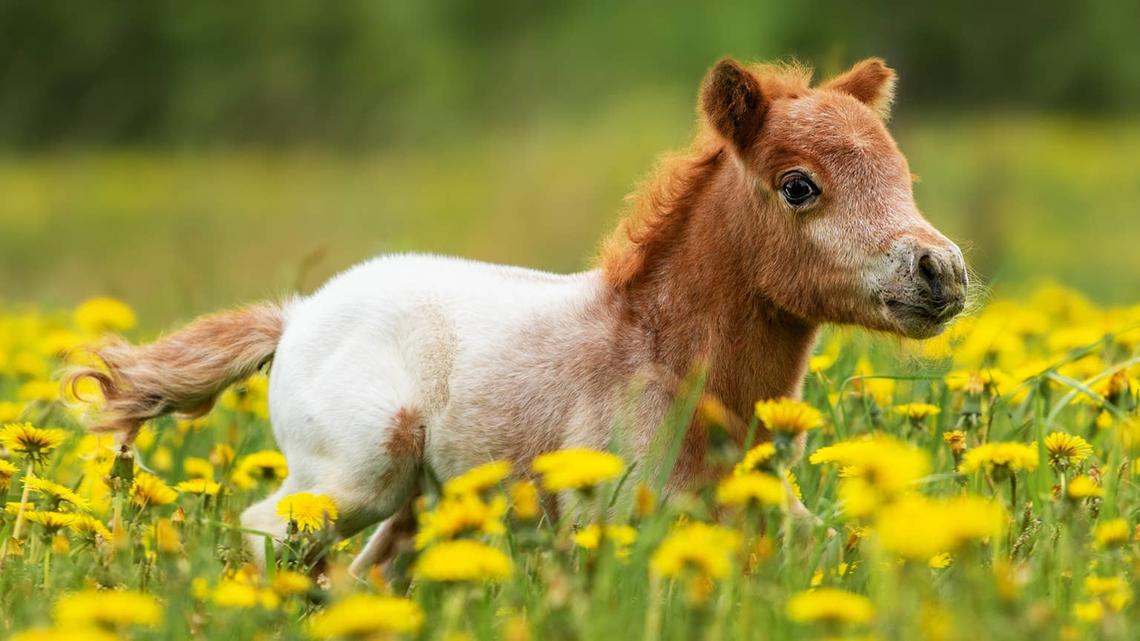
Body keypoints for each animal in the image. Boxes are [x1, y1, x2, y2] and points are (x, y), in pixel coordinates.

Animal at [67, 57, 968, 575]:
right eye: (799, 185)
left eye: (903, 174)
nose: (942, 272)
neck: (662, 355)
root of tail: (294, 317)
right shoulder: (613, 521)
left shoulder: (752, 514)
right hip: (356, 474)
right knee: (265, 533)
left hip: (418, 501)